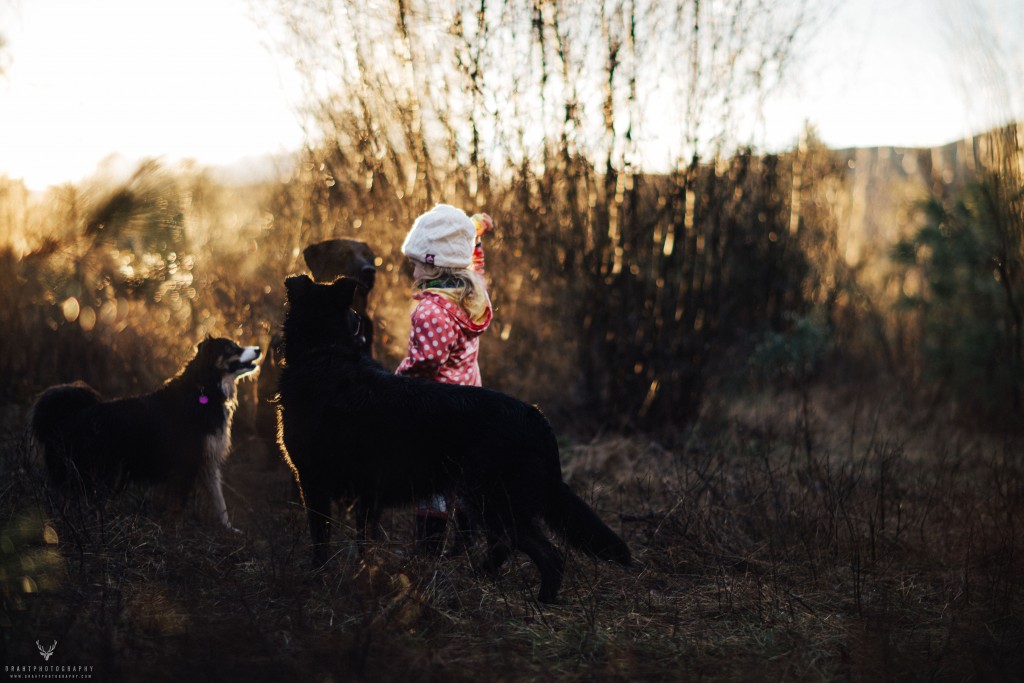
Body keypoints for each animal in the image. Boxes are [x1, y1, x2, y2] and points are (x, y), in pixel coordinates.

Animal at [29, 339, 260, 532]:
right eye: (231, 348)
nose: (258, 349)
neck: (205, 390)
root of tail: (62, 419)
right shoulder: (186, 463)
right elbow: (179, 505)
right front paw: (178, 532)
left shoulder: (208, 461)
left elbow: (220, 502)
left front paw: (229, 530)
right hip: (101, 472)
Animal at [276, 274, 626, 602]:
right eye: (353, 317)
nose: (362, 325)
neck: (325, 354)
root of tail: (536, 416)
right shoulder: (366, 492)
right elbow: (363, 540)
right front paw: (362, 575)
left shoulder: (313, 480)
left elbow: (321, 537)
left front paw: (319, 577)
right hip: (487, 500)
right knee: (508, 544)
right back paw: (484, 579)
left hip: (493, 499)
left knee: (542, 552)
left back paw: (534, 599)